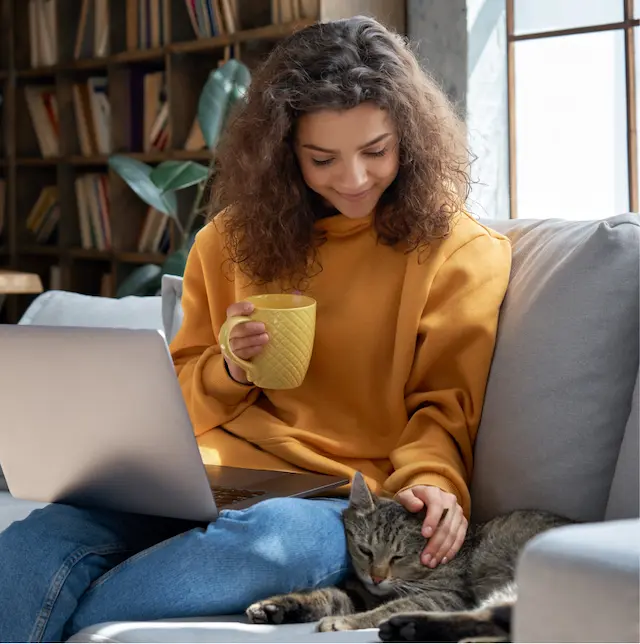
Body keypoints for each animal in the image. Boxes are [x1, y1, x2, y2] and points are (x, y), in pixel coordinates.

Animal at [245, 470, 568, 640]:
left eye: (398, 557)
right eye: (365, 550)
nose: (376, 577)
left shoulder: (448, 595)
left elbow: (388, 608)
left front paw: (346, 622)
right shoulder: (360, 592)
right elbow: (325, 596)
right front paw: (276, 607)